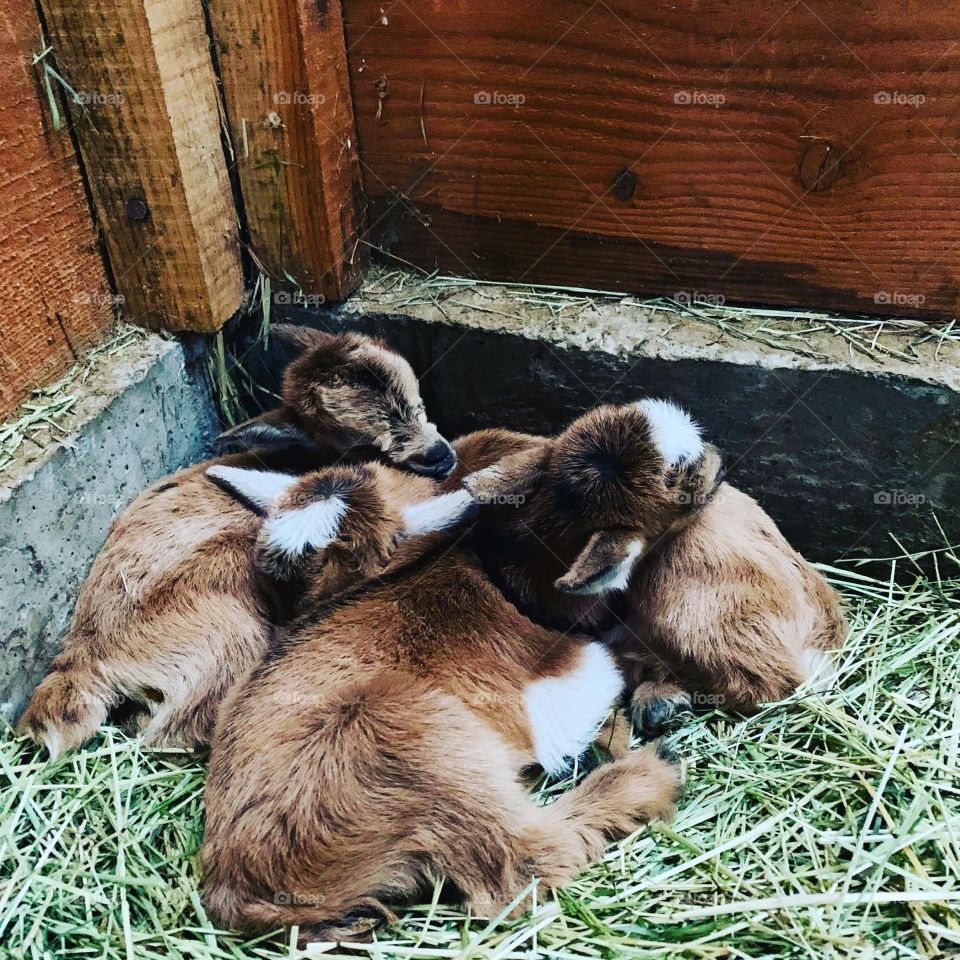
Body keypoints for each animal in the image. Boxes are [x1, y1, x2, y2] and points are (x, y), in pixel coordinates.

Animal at [17, 326, 456, 757]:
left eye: (415, 401)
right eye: (360, 445)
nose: (440, 456)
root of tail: (84, 655)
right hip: (231, 625)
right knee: (175, 728)